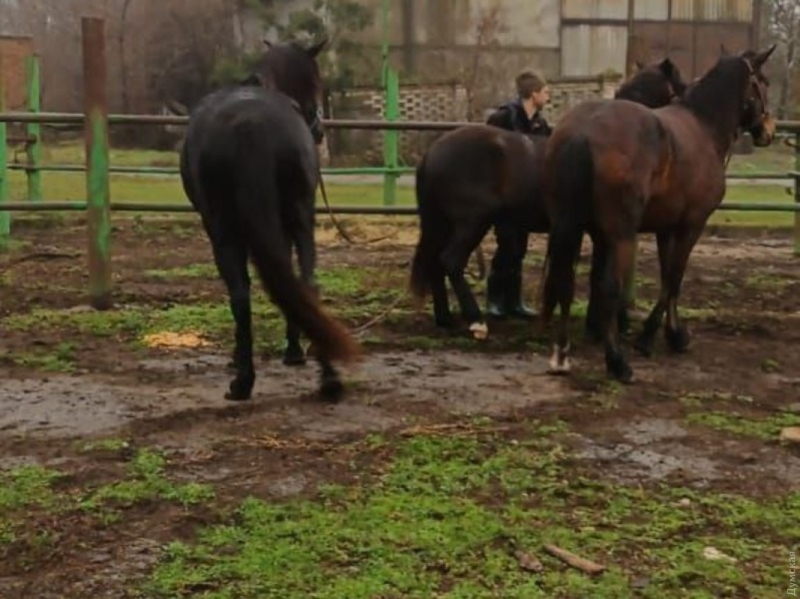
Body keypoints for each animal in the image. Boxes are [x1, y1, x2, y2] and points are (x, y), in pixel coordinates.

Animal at [181, 38, 360, 404]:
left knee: (240, 294)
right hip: (300, 217)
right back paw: (329, 379)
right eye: (317, 81)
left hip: (224, 230)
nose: (319, 131)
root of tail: (251, 126)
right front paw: (295, 351)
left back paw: (243, 382)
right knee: (307, 284)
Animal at [410, 58, 684, 340]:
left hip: (442, 223)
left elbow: (596, 273)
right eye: (678, 87)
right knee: (451, 261)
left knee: (435, 263)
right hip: (472, 223)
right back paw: (476, 320)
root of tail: (432, 152)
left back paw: (445, 318)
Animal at [536, 47, 776, 384]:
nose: (769, 130)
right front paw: (650, 338)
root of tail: (582, 132)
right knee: (610, 287)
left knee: (564, 281)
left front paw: (673, 334)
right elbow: (674, 276)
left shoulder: (666, 228)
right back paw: (617, 363)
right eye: (763, 82)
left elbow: (667, 276)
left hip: (570, 226)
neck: (703, 127)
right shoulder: (692, 225)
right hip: (621, 234)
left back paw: (561, 355)